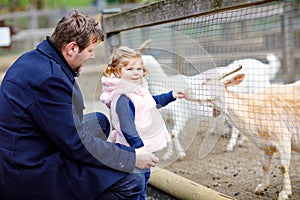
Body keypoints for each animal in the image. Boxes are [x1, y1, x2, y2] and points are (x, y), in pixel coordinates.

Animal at [186, 66, 298, 200]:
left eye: (205, 82)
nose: (185, 91)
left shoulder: (283, 138)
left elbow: (283, 167)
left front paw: (285, 192)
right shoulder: (267, 144)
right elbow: (264, 165)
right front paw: (261, 187)